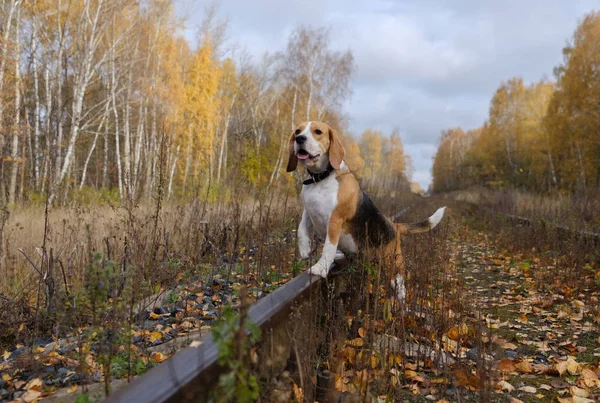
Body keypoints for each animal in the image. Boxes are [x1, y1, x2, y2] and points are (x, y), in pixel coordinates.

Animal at [286, 121, 446, 302]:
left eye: (318, 132)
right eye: (297, 131)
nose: (299, 138)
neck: (320, 179)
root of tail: (394, 225)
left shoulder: (334, 221)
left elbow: (328, 247)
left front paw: (320, 268)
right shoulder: (309, 209)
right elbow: (301, 228)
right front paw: (305, 249)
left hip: (393, 267)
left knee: (401, 289)